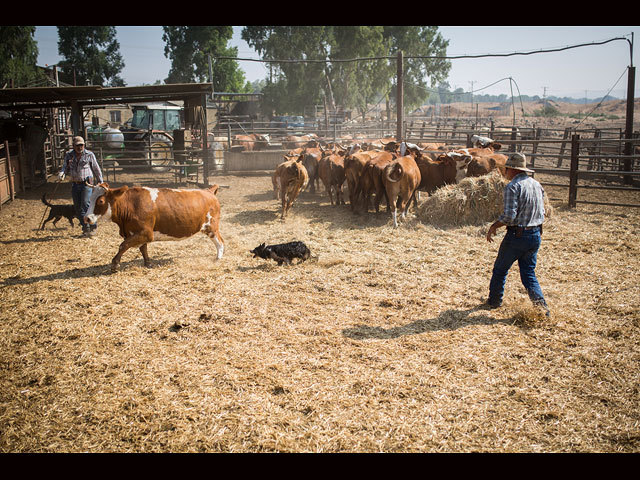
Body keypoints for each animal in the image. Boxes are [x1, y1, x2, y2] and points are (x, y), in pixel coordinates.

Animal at [84, 182, 225, 272]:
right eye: (90, 198)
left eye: (100, 201)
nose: (87, 218)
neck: (131, 204)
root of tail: (208, 191)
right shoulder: (138, 233)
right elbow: (143, 248)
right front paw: (148, 263)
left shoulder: (146, 233)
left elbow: (123, 245)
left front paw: (115, 264)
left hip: (211, 227)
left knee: (220, 242)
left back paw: (218, 258)